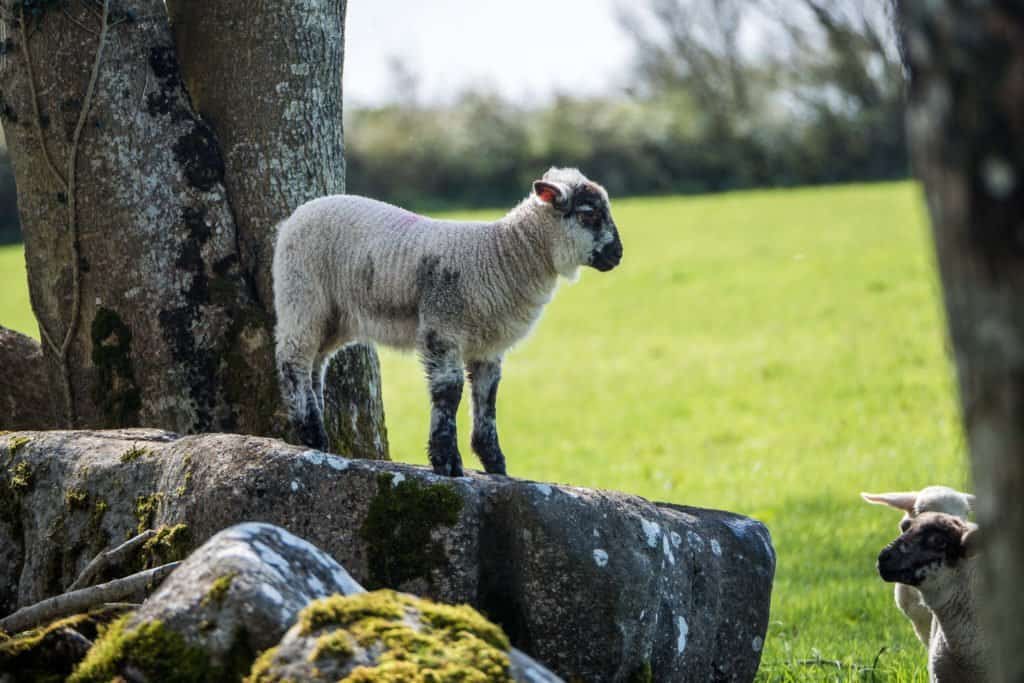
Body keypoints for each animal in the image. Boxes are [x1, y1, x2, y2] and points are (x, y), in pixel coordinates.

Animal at [274, 166, 622, 475]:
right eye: (589, 215)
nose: (617, 255)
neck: (501, 255)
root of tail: (294, 217)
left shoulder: (488, 346)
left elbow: (488, 397)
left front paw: (495, 463)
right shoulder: (442, 328)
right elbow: (449, 391)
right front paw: (447, 462)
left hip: (335, 316)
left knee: (315, 363)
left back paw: (317, 429)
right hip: (301, 296)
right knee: (293, 359)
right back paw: (310, 432)